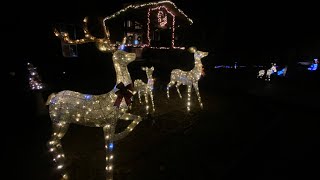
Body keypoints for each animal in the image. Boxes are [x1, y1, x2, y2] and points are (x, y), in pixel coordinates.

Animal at [47, 16, 142, 180]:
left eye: (123, 50)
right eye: (120, 55)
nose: (134, 55)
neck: (117, 92)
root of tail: (52, 98)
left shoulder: (119, 115)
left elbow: (138, 117)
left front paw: (119, 136)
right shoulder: (109, 122)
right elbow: (109, 151)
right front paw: (109, 175)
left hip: (58, 122)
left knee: (55, 142)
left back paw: (64, 166)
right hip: (60, 120)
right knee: (51, 143)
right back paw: (64, 173)